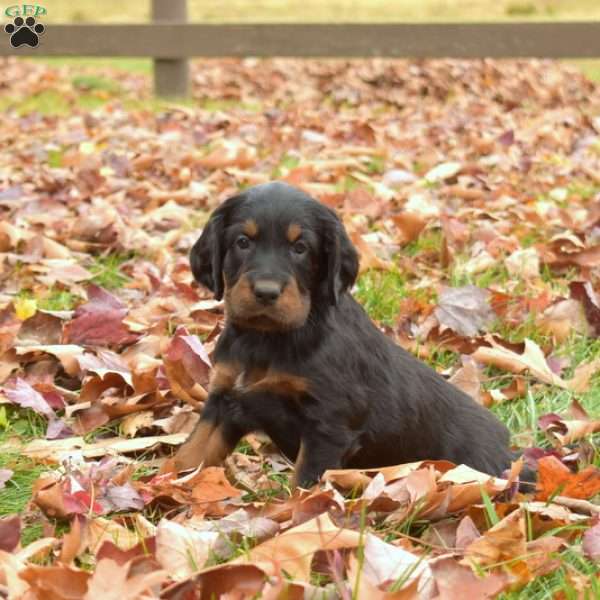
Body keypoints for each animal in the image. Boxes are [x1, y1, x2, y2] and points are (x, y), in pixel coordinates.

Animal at [175, 183, 516, 488]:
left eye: (301, 248)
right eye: (243, 242)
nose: (266, 292)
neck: (268, 338)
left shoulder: (329, 426)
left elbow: (302, 487)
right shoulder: (225, 400)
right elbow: (189, 455)